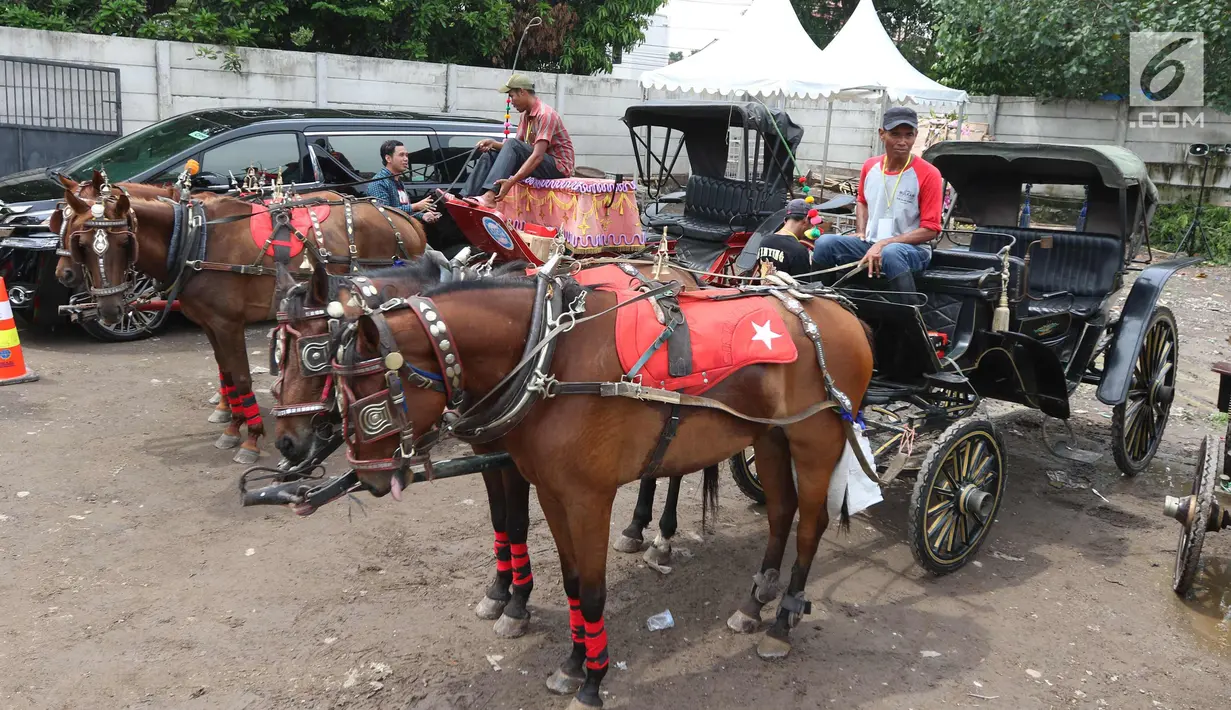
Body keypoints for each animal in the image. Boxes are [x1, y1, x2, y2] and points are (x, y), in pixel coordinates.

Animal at [264, 257, 718, 634]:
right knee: (654, 470)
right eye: (276, 352)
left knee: (678, 470)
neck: (529, 349)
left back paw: (661, 539)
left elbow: (516, 523)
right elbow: (500, 520)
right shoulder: (488, 455)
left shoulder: (515, 462)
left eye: (315, 354)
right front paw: (499, 592)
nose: (286, 442)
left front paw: (517, 604)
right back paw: (635, 527)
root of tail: (679, 271)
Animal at [310, 263, 876, 703]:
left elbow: (594, 589)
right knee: (781, 511)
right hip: (771, 437)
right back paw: (753, 604)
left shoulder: (590, 499)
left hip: (816, 439)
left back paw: (781, 622)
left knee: (811, 524)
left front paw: (592, 681)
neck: (548, 357)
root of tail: (841, 312)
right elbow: (571, 582)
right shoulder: (551, 491)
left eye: (369, 400)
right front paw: (572, 663)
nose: (367, 477)